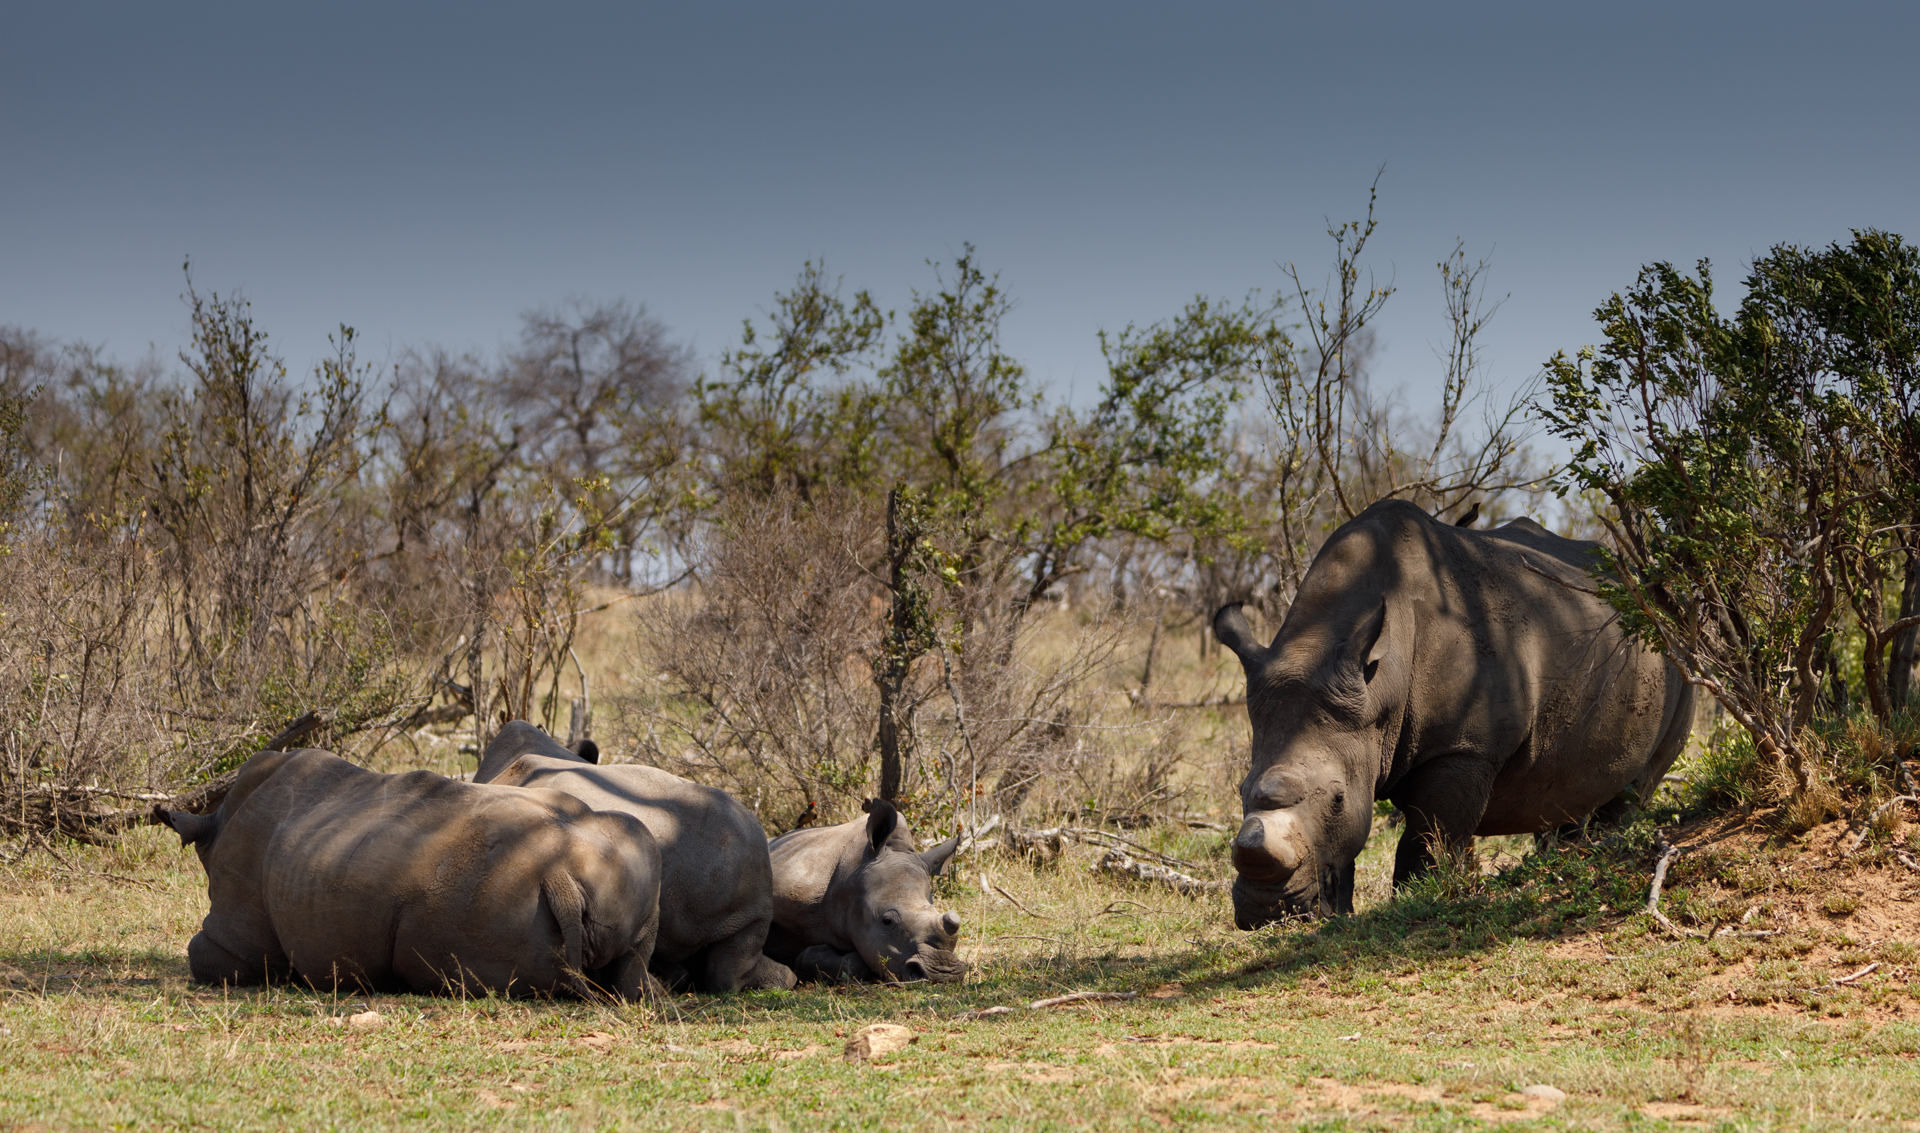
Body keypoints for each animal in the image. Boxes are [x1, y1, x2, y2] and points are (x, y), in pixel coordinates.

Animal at [151, 748, 661, 999]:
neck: (214, 827)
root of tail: (561, 875)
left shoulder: (236, 936)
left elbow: (204, 954)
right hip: (633, 852)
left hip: (492, 892)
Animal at [1214, 499, 1696, 927]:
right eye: (1240, 790)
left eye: (1336, 799)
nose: (1265, 914)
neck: (1378, 688)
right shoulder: (1356, 731)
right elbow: (1355, 845)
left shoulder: (1464, 747)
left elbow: (1427, 837)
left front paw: (1418, 899)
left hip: (1681, 661)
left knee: (1635, 788)